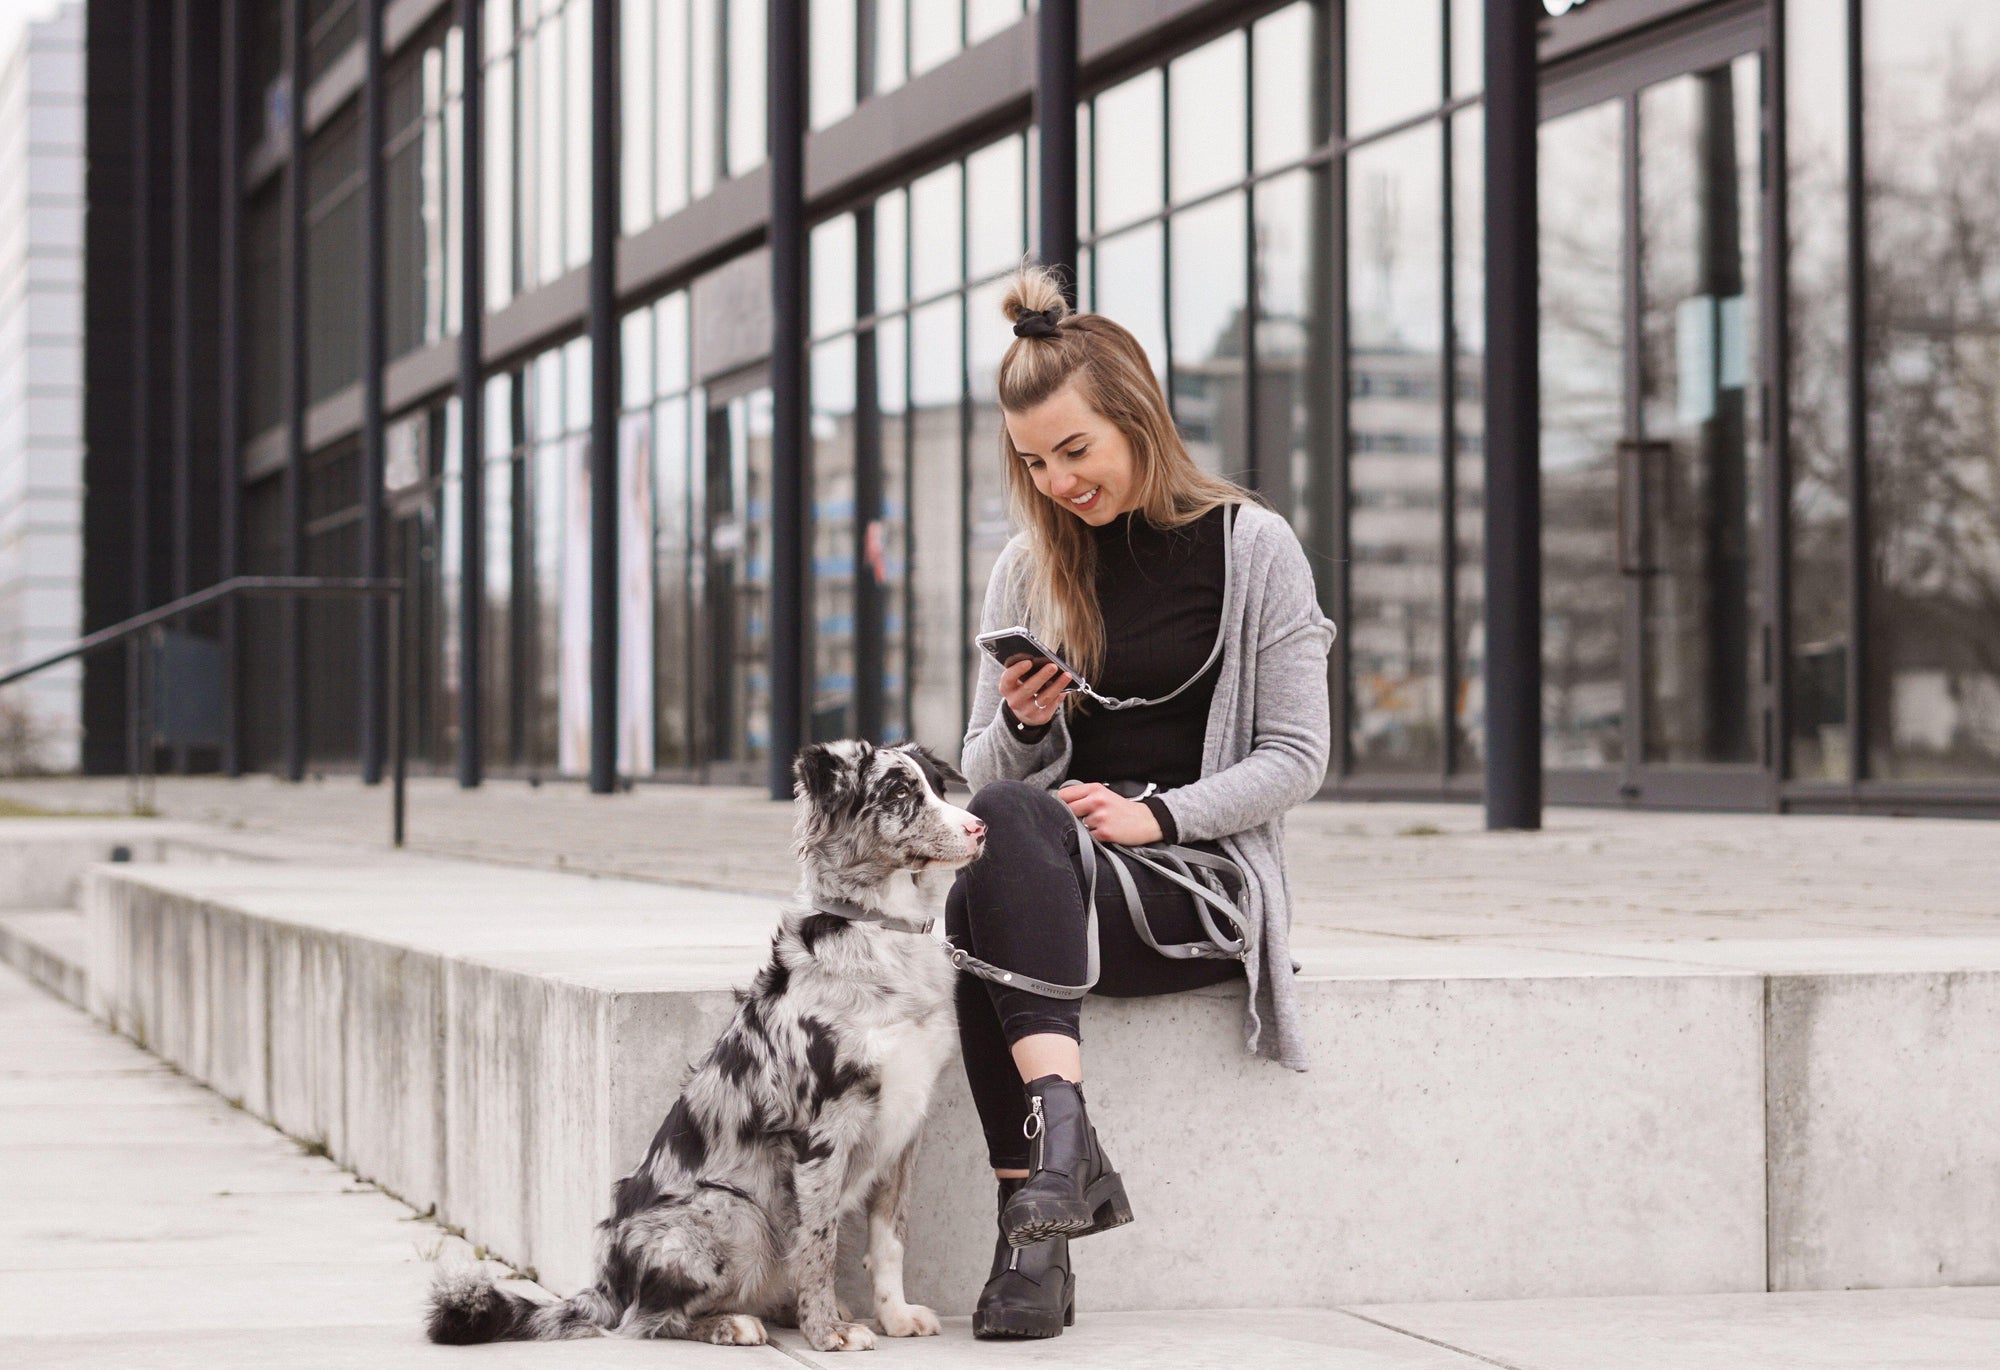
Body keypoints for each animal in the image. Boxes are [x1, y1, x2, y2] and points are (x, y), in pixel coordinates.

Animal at [426, 736, 988, 1344]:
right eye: (899, 793)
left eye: (937, 787)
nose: (979, 827)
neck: (882, 932)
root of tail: (606, 1281)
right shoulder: (823, 1129)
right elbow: (819, 1244)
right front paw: (827, 1335)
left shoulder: (905, 1123)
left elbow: (889, 1237)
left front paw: (892, 1315)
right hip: (735, 1211)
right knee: (646, 1319)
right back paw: (734, 1324)